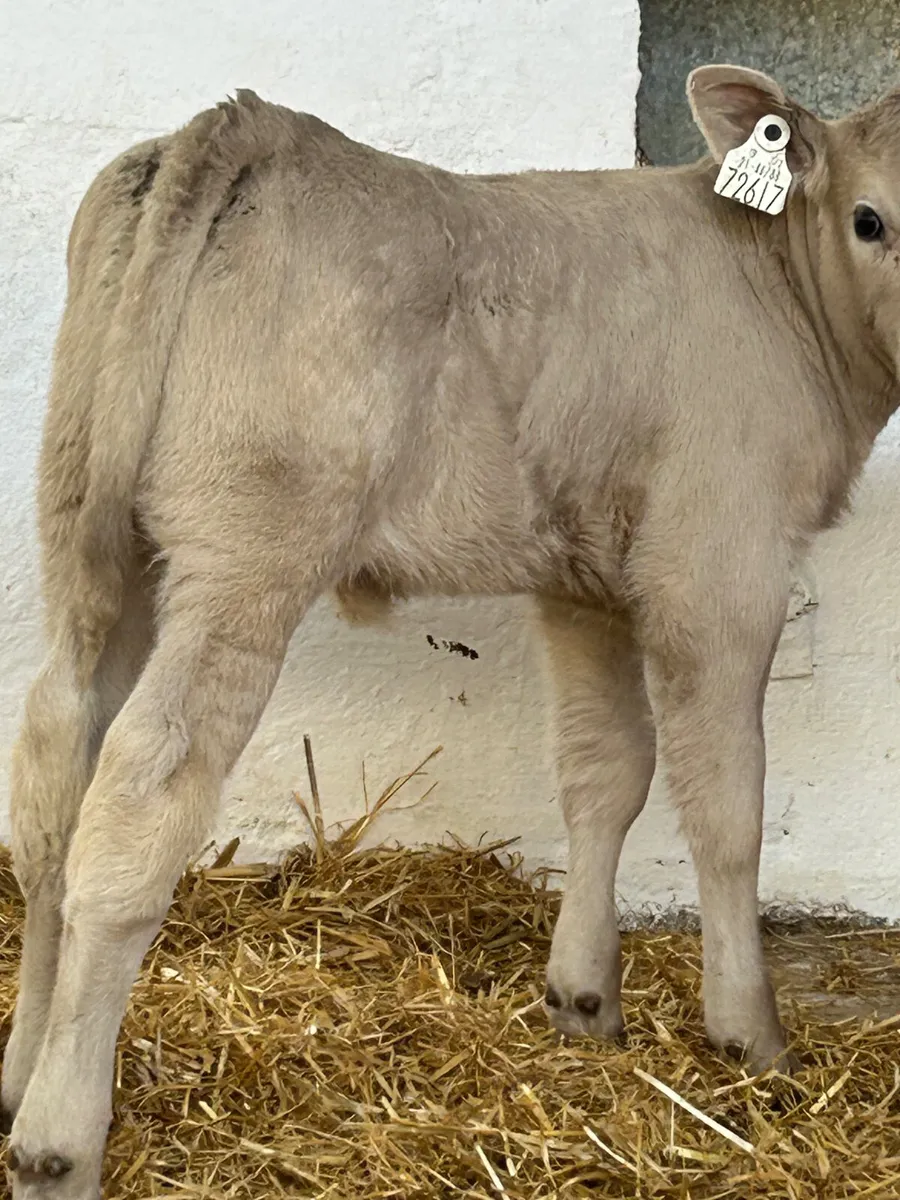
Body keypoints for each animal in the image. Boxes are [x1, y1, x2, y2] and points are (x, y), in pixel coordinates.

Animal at [2, 63, 899, 1197]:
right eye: (869, 219)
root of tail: (251, 123)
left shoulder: (586, 580)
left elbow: (606, 773)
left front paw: (584, 1002)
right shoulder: (718, 565)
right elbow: (728, 803)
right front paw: (750, 1035)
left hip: (89, 525)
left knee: (56, 761)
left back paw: (18, 1077)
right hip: (245, 551)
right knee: (139, 788)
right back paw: (59, 1137)